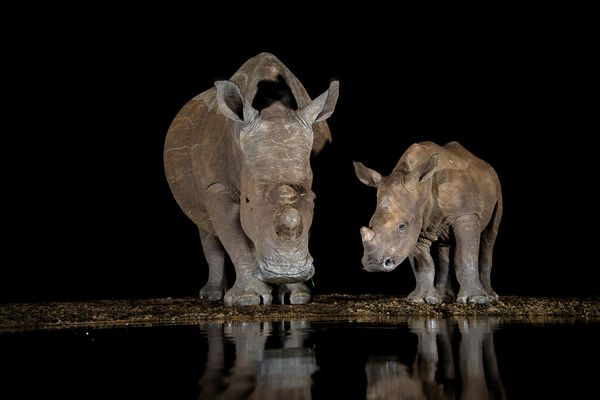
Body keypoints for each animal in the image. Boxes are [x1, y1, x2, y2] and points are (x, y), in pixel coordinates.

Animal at [164, 53, 338, 306]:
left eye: (315, 201)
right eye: (247, 200)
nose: (287, 271)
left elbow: (301, 222)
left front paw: (298, 296)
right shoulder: (217, 187)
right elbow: (234, 237)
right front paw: (246, 300)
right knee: (206, 228)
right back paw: (213, 295)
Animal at [354, 142, 504, 304]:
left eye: (402, 226)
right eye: (371, 224)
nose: (373, 264)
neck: (422, 187)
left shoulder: (465, 213)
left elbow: (465, 255)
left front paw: (476, 299)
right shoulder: (417, 223)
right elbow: (423, 263)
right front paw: (421, 300)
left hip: (496, 185)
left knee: (489, 236)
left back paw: (490, 297)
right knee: (444, 244)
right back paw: (444, 296)